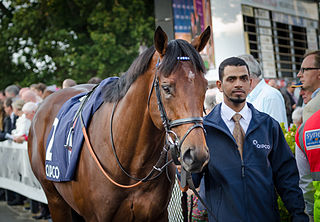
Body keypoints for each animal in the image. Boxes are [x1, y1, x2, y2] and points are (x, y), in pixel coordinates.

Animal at [28, 26, 211, 221]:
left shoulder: (158, 214)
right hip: (56, 200)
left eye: (205, 86)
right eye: (166, 87)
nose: (197, 154)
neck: (132, 167)